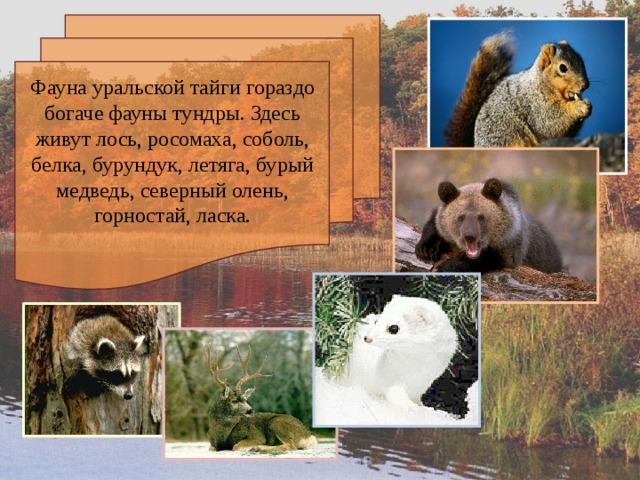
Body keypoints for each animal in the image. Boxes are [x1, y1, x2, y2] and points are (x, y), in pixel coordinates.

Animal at [415, 178, 563, 274]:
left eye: (481, 217)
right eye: (461, 217)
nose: (469, 236)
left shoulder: (512, 243)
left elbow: (491, 258)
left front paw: (449, 266)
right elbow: (435, 222)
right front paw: (427, 250)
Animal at [444, 33, 591, 147]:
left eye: (581, 60)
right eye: (562, 68)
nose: (585, 85)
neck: (541, 83)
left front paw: (588, 105)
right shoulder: (534, 105)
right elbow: (549, 122)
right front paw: (579, 106)